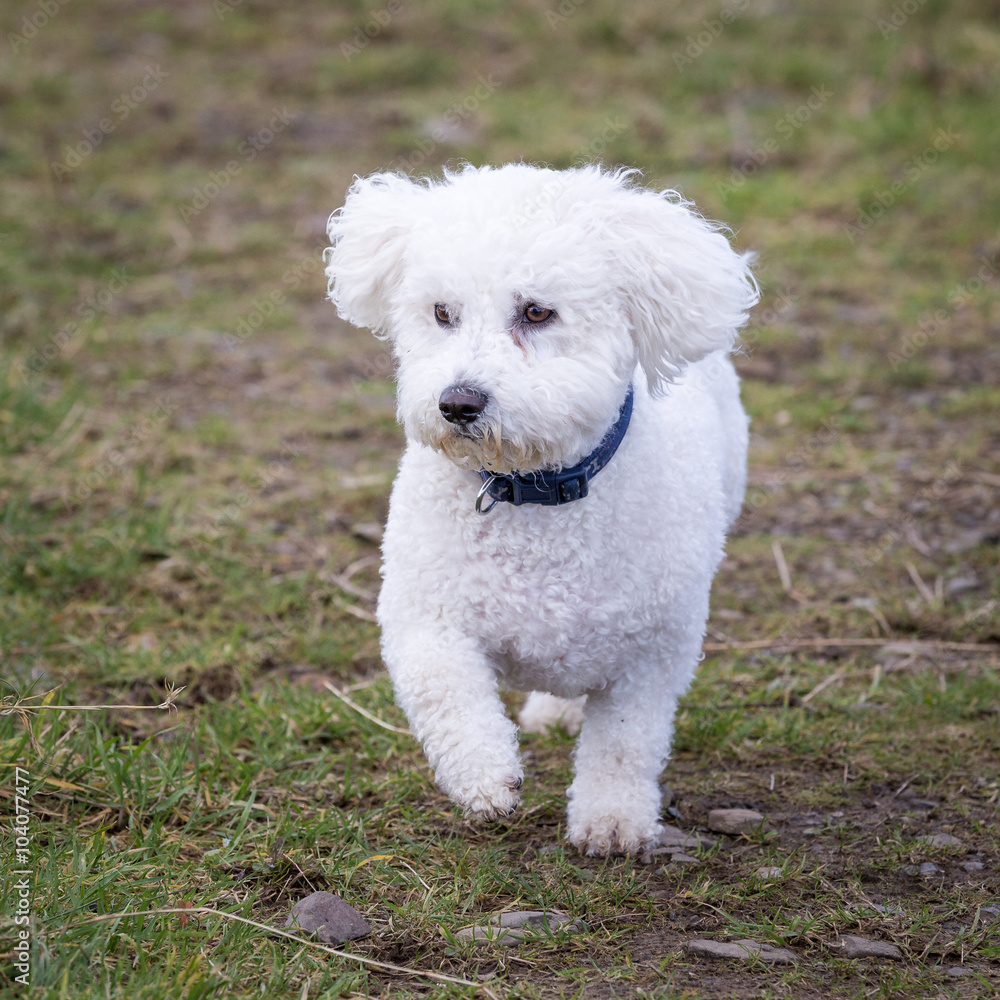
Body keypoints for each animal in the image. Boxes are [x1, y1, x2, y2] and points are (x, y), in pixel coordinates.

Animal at [324, 162, 752, 852]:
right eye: (441, 312)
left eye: (537, 312)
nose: (458, 403)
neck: (533, 493)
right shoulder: (424, 614)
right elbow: (445, 689)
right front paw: (486, 777)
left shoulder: (654, 652)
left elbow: (625, 743)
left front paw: (611, 822)